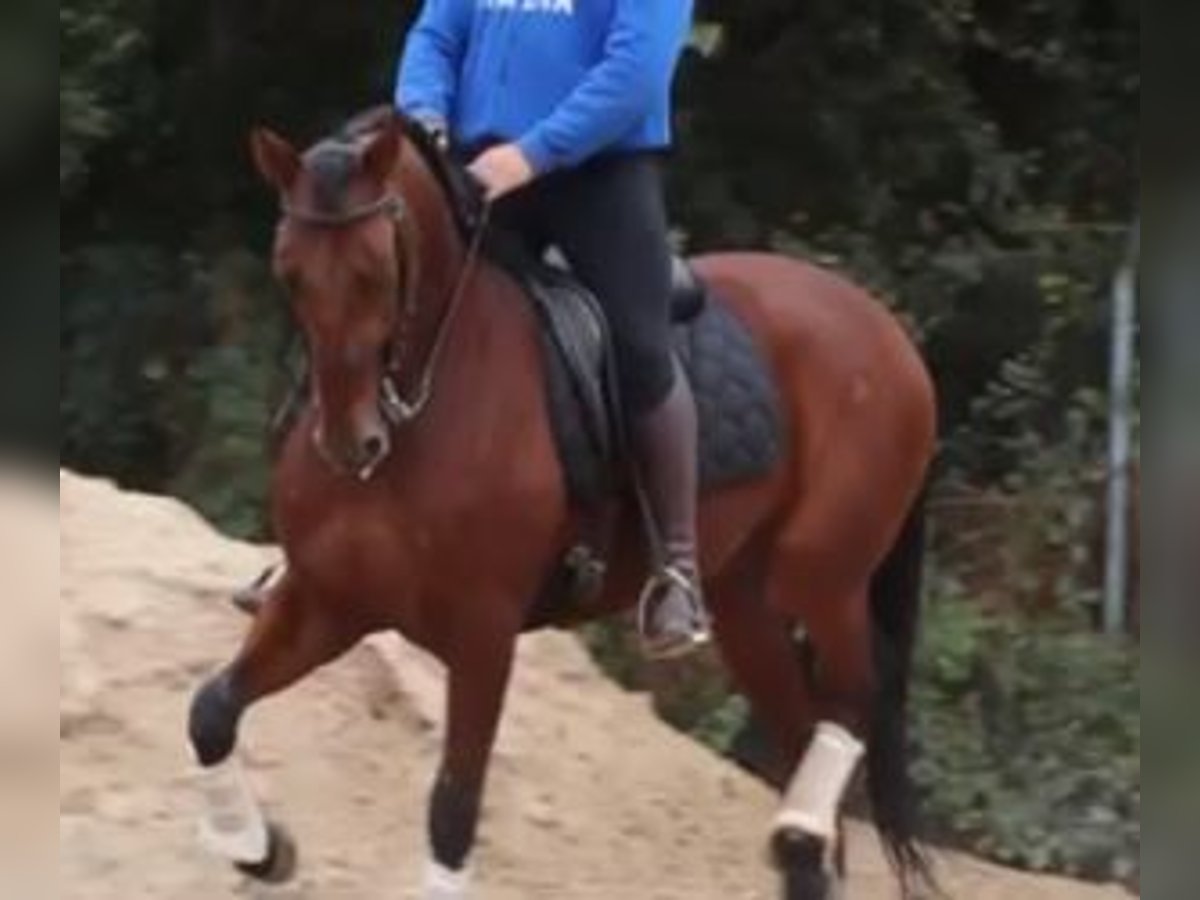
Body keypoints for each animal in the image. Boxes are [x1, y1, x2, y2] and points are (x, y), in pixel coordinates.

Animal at [184, 112, 936, 900]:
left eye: (373, 271)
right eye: (290, 272)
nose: (348, 442)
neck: (424, 407)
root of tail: (883, 326)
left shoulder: (482, 635)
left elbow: (453, 808)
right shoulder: (327, 599)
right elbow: (211, 712)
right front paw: (257, 848)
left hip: (821, 575)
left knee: (855, 695)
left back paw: (801, 824)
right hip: (744, 601)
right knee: (799, 732)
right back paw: (803, 844)